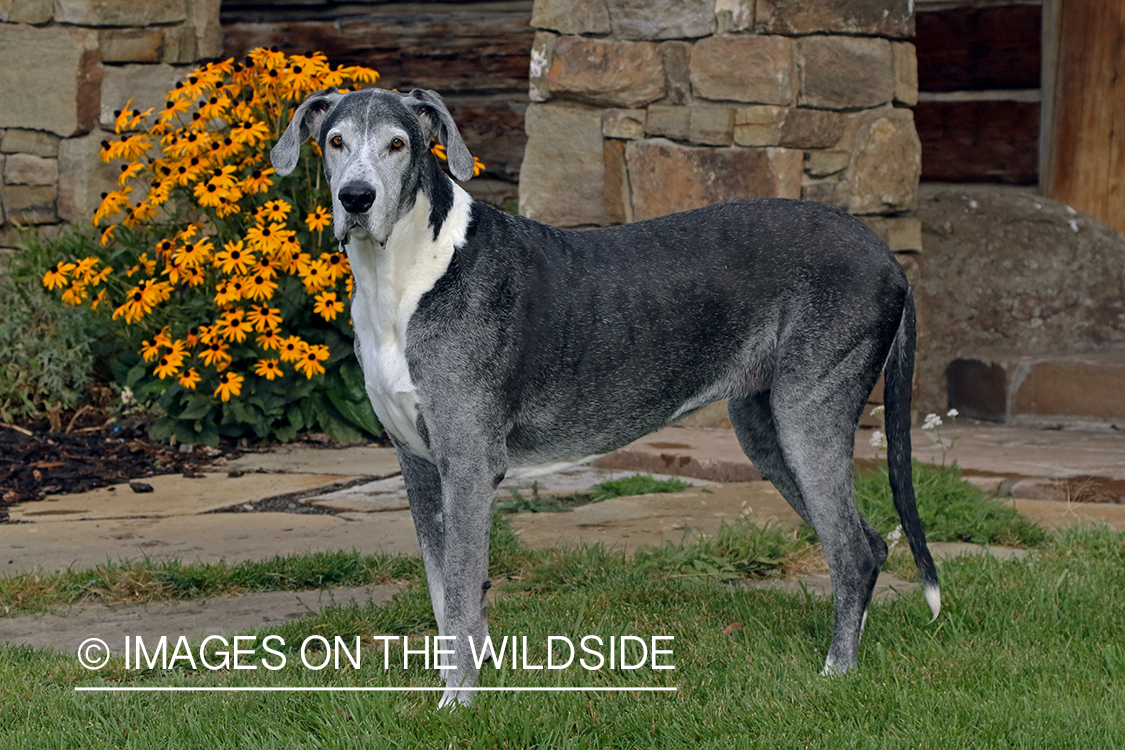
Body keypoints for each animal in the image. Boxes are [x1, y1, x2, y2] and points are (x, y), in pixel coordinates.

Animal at [272, 88, 940, 710]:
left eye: (398, 144)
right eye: (334, 142)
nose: (356, 199)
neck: (408, 270)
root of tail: (887, 256)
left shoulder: (467, 465)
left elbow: (462, 595)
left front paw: (457, 707)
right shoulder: (418, 466)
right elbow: (443, 595)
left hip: (807, 417)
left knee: (852, 552)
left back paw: (835, 676)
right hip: (765, 430)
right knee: (873, 544)